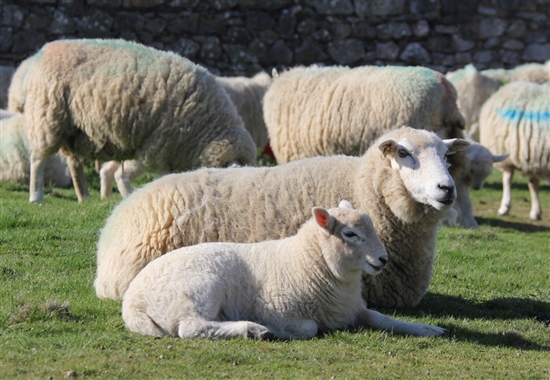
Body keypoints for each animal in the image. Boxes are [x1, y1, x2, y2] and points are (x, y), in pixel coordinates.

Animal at [19, 37, 256, 205]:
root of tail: (46, 49)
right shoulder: (160, 146)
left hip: (74, 129)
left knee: (74, 163)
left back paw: (84, 196)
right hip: (48, 116)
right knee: (38, 160)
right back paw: (36, 197)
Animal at [122, 200, 448, 340]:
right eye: (350, 234)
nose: (383, 260)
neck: (306, 262)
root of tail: (132, 302)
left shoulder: (353, 309)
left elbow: (384, 318)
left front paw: (428, 329)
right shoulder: (278, 309)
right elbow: (310, 327)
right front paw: (277, 331)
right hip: (198, 289)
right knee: (191, 328)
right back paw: (253, 330)